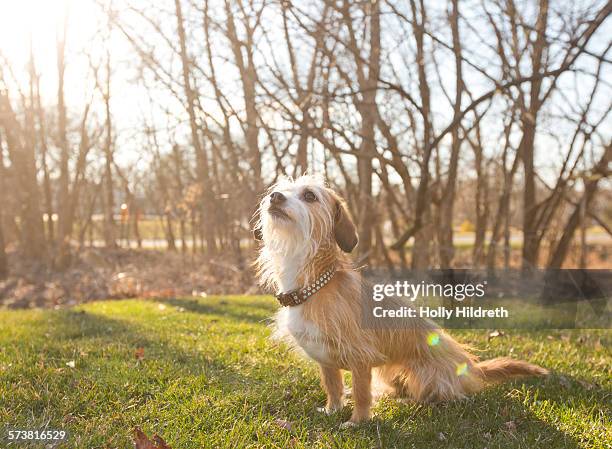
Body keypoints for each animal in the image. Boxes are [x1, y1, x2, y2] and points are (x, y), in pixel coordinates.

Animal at [251, 173, 548, 426]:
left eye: (309, 195)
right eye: (279, 189)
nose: (275, 196)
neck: (314, 284)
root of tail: (469, 368)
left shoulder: (361, 357)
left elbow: (360, 392)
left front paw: (357, 422)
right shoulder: (326, 359)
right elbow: (333, 386)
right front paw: (331, 410)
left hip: (426, 375)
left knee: (447, 395)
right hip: (388, 369)